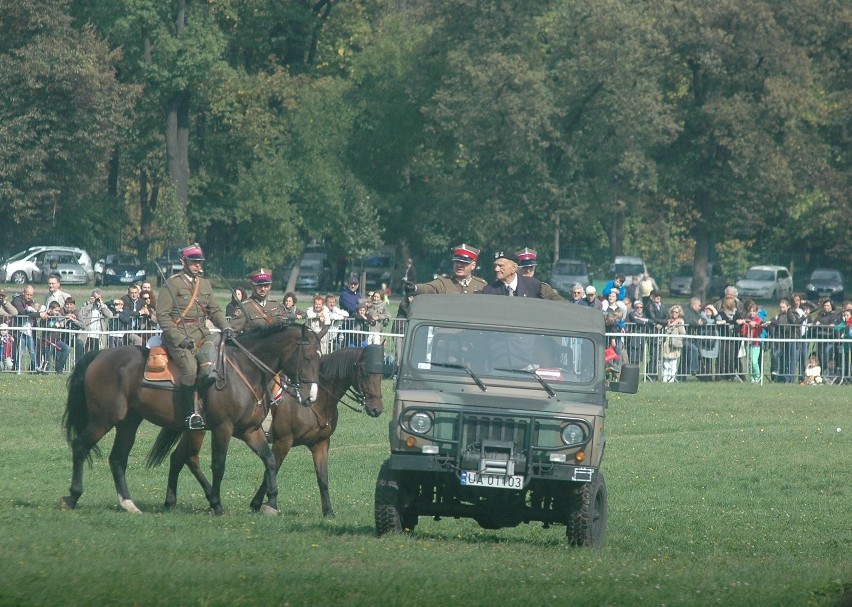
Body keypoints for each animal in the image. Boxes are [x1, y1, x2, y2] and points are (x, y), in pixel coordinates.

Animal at [61, 326, 322, 516]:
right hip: (103, 420)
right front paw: (217, 503)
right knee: (80, 446)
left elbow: (269, 460)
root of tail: (100, 354)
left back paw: (129, 503)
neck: (245, 372)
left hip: (128, 423)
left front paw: (271, 503)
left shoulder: (250, 430)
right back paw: (72, 497)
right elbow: (219, 465)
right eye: (307, 358)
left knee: (118, 459)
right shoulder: (222, 428)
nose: (311, 396)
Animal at [155, 346, 388, 516]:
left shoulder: (320, 444)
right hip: (198, 431)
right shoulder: (283, 441)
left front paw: (328, 511)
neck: (315, 400)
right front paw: (262, 503)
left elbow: (322, 478)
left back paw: (172, 501)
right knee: (190, 458)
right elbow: (272, 468)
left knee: (178, 458)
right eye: (365, 372)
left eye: (381, 374)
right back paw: (208, 497)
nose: (376, 409)